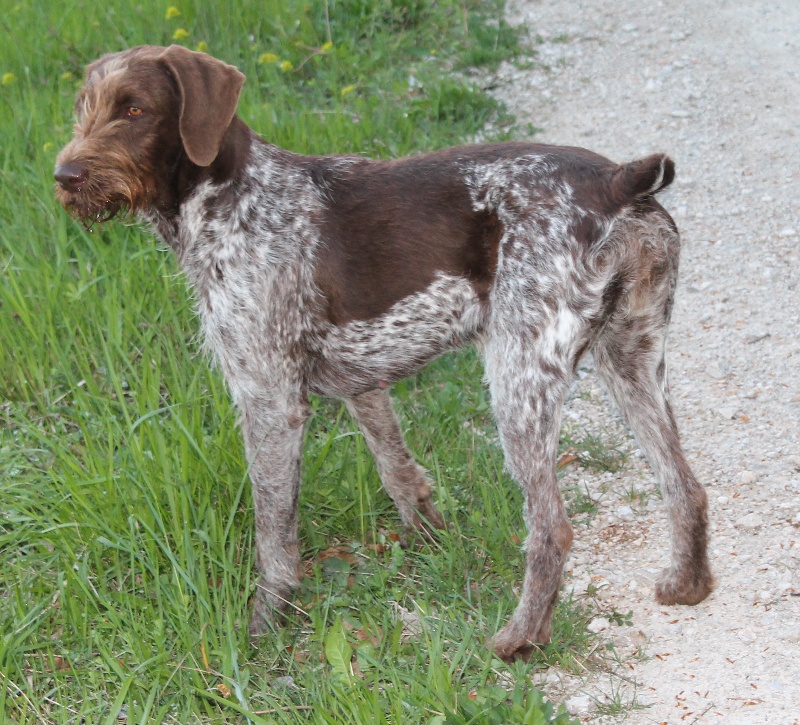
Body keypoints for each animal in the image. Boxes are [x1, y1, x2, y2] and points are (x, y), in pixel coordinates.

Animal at [54, 42, 712, 660]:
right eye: (83, 107)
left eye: (135, 110)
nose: (66, 175)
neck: (230, 198)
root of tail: (616, 180)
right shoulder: (362, 383)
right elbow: (397, 470)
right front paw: (429, 542)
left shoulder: (268, 399)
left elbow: (274, 530)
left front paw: (266, 622)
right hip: (630, 359)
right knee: (684, 484)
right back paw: (689, 584)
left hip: (520, 378)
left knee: (552, 527)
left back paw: (519, 639)